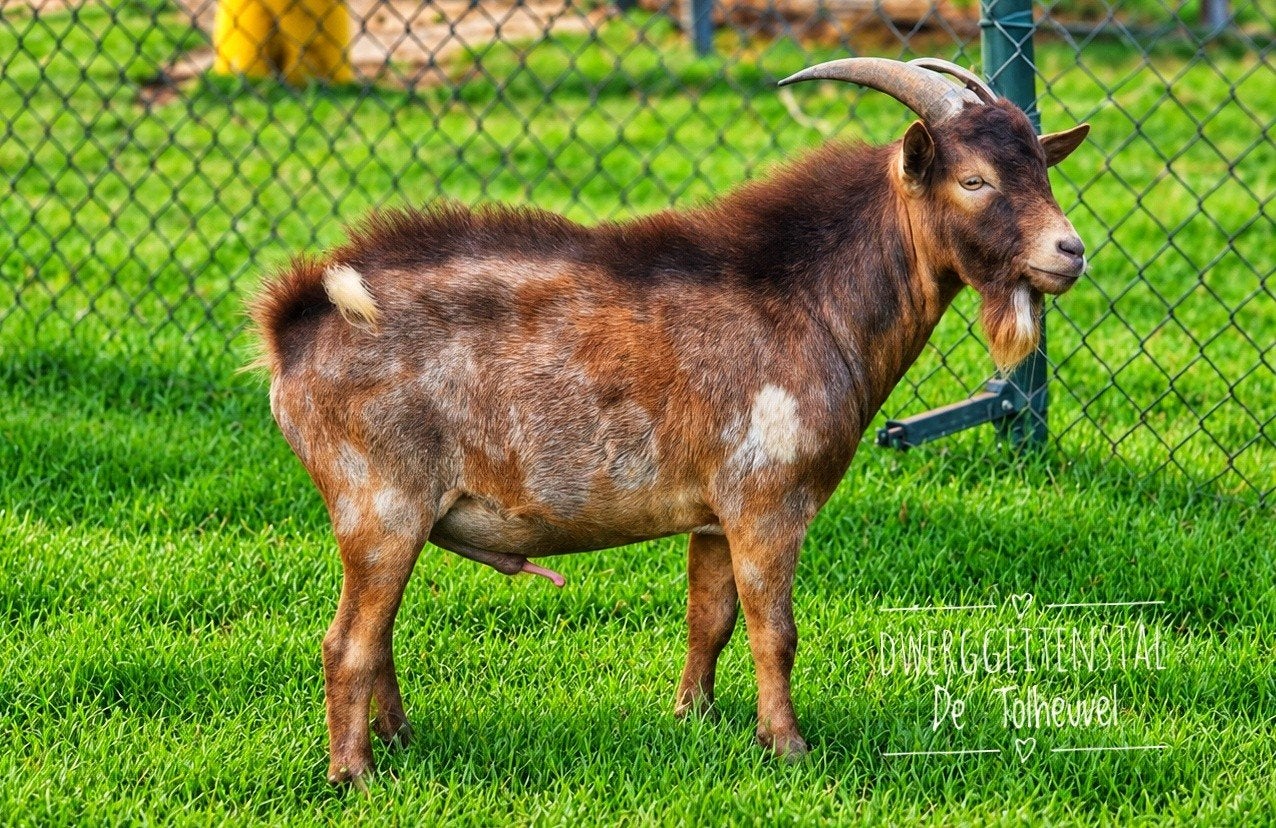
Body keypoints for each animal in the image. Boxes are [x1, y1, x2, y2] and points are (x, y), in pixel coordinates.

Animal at [251, 57, 1090, 786]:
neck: (808, 301)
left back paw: (399, 739)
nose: (1071, 251)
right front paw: (788, 746)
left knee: (378, 633)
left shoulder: (716, 514)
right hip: (380, 503)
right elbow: (776, 631)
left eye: (1043, 171)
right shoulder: (769, 503)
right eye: (974, 179)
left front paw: (697, 717)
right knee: (348, 643)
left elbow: (709, 618)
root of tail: (295, 326)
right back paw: (355, 775)